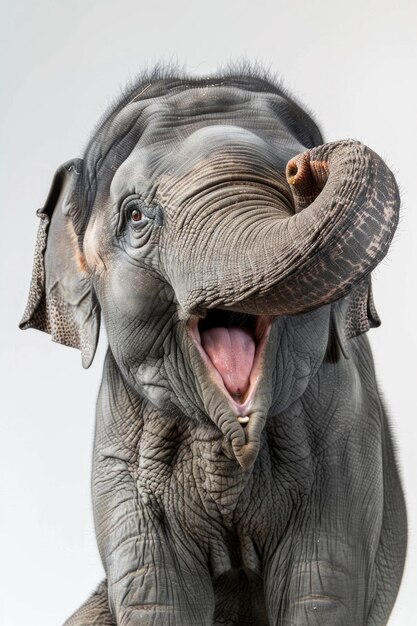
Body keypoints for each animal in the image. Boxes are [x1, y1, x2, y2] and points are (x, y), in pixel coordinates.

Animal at [21, 68, 404, 624]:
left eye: (296, 195)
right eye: (135, 216)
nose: (305, 166)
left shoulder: (346, 448)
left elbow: (320, 589)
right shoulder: (119, 463)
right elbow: (155, 593)